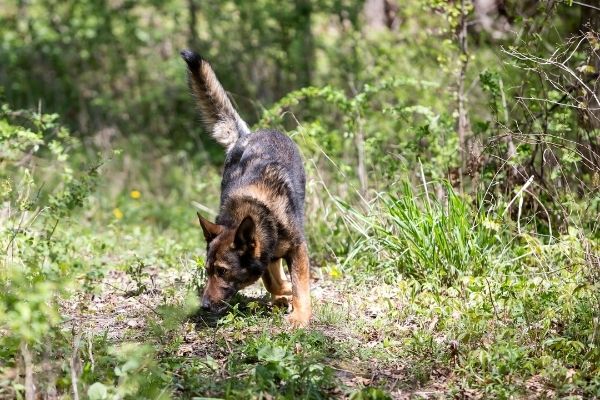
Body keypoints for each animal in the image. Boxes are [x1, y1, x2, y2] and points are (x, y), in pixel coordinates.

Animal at [182, 50, 314, 326]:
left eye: (222, 271)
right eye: (208, 271)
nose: (204, 306)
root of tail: (247, 135)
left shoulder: (298, 248)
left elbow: (299, 285)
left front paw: (300, 315)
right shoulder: (266, 253)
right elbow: (272, 281)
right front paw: (283, 293)